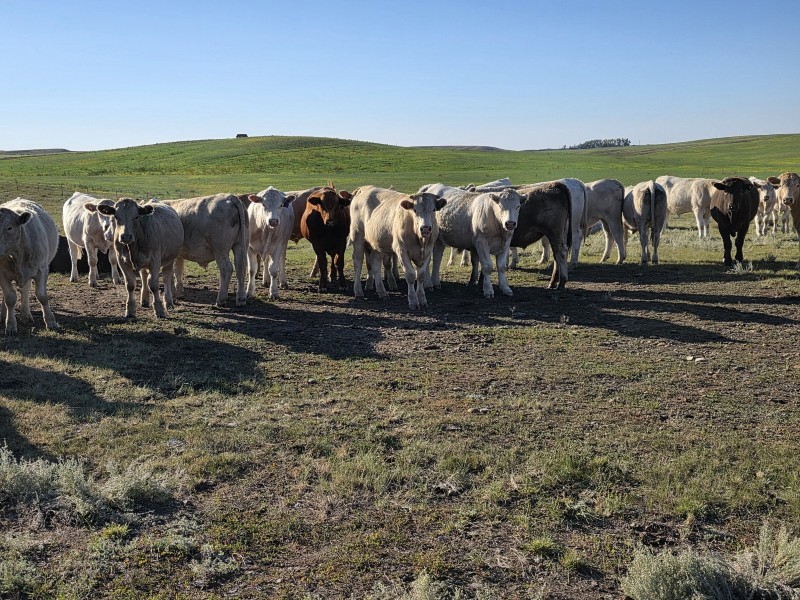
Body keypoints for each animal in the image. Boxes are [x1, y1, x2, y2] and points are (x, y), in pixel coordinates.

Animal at [0, 199, 59, 335]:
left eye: (9, 228)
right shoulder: (2, 273)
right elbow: (9, 298)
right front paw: (10, 325)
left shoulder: (42, 270)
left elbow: (42, 296)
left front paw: (51, 322)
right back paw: (3, 315)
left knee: (25, 289)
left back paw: (25, 314)